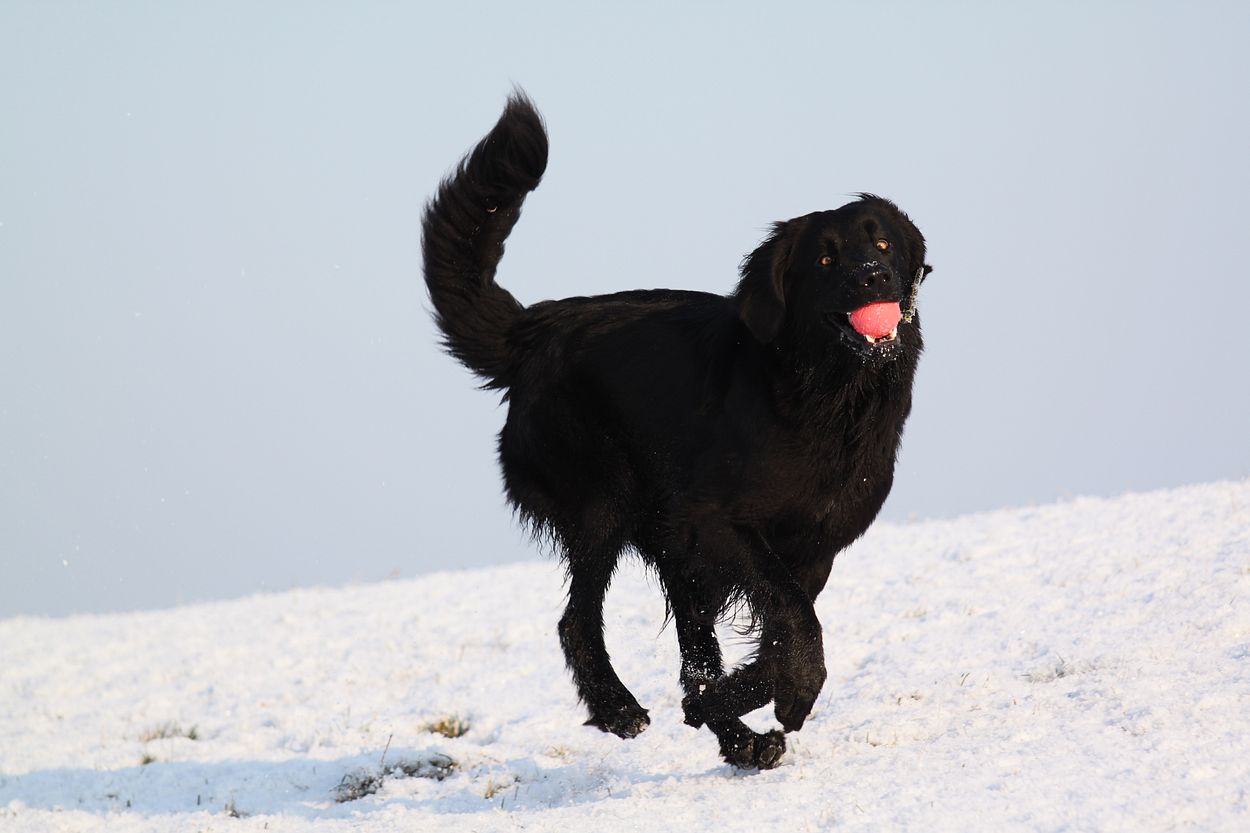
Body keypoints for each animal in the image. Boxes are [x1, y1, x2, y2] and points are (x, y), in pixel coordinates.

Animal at [421, 93, 932, 769]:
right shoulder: (716, 521)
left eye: (882, 243)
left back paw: (739, 739)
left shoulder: (815, 545)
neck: (825, 395)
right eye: (825, 259)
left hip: (668, 545)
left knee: (692, 659)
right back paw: (619, 708)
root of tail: (534, 330)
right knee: (576, 622)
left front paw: (738, 701)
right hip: (606, 500)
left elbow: (779, 637)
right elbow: (795, 621)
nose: (873, 276)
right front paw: (791, 693)